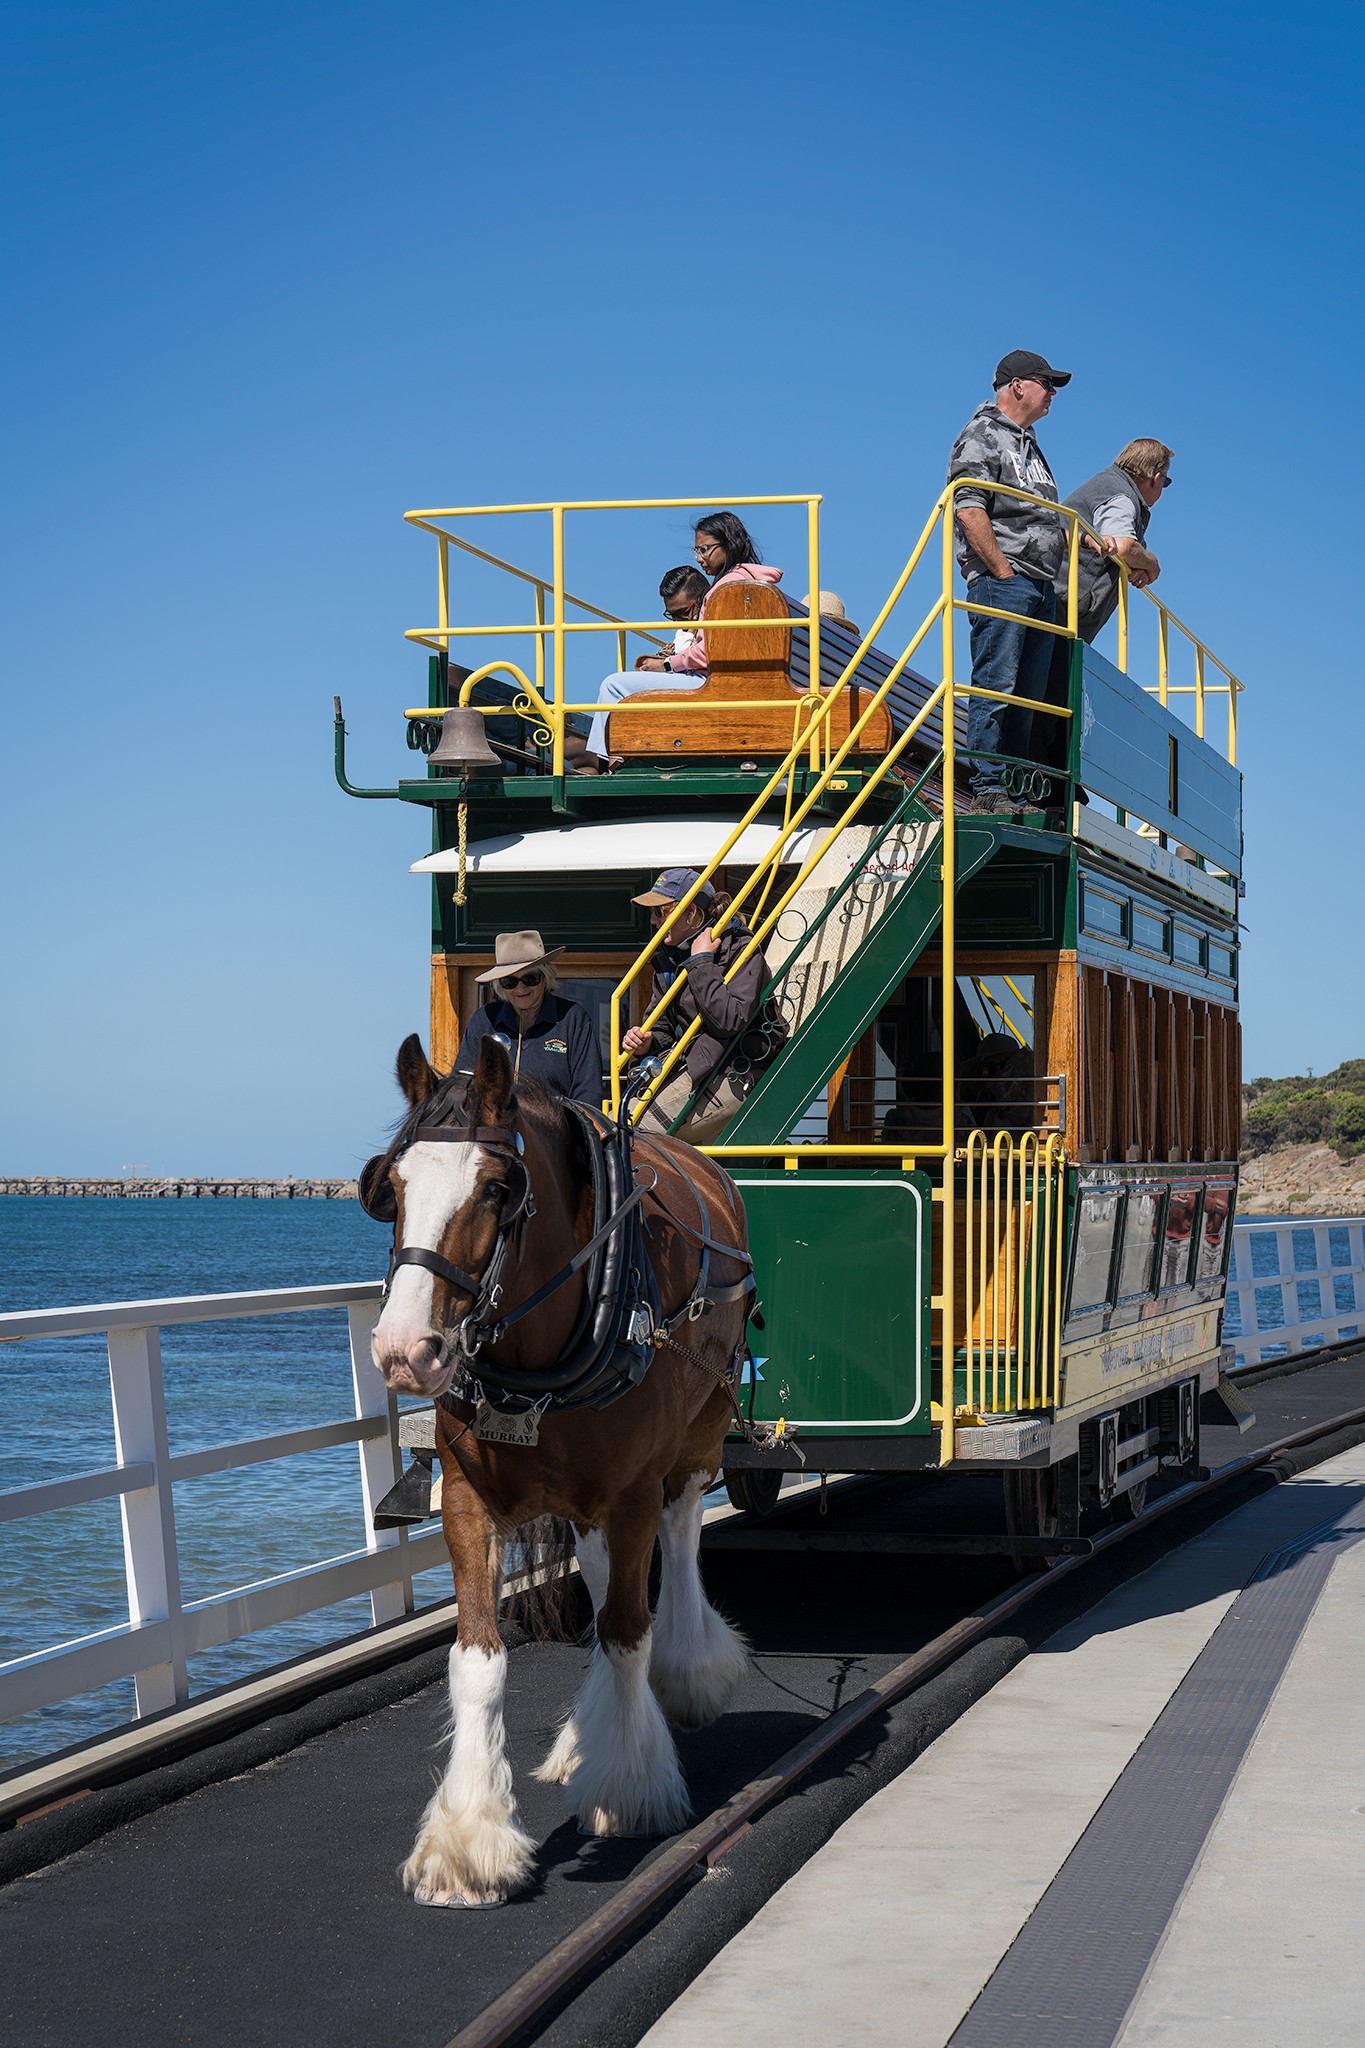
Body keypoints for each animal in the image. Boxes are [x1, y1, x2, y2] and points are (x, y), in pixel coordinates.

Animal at [368, 1032, 753, 1908]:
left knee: (678, 1538)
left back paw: (687, 1675)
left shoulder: (635, 1489)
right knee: (602, 1568)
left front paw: (633, 1789)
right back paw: (587, 1737)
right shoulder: (467, 1500)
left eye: (497, 1187)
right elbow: (477, 1661)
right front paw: (466, 1843)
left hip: (701, 1427)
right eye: (392, 1184)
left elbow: (626, 1631)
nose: (404, 1350)